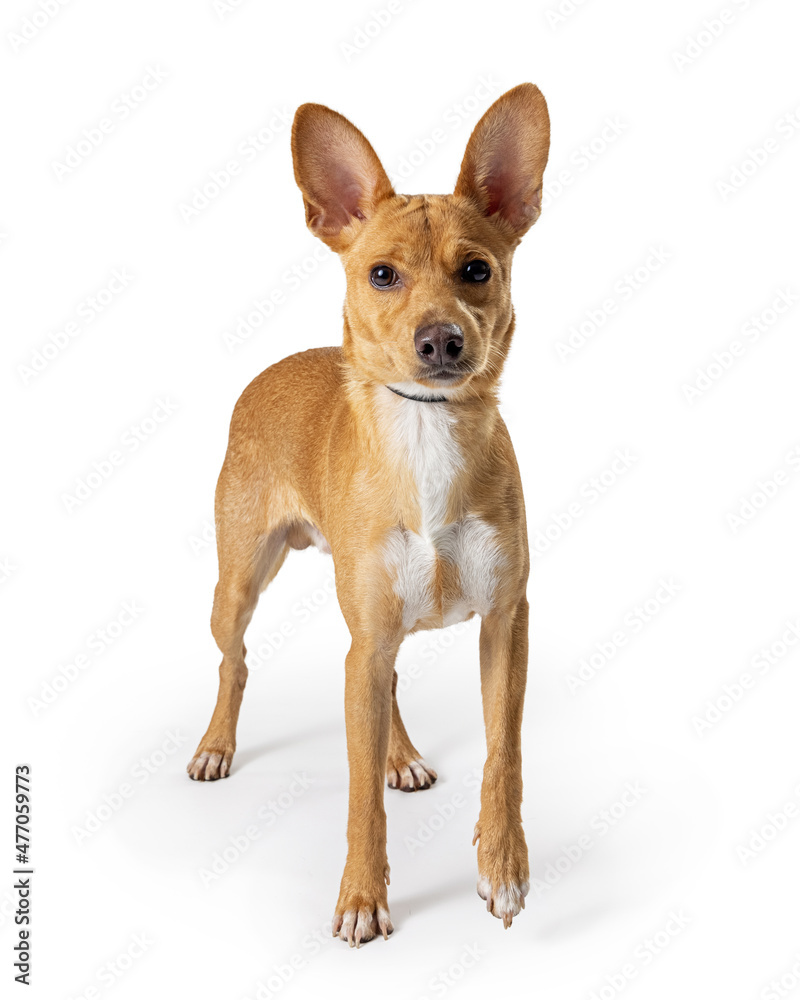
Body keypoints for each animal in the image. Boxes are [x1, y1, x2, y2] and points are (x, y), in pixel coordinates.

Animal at [188, 84, 552, 944]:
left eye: (477, 270)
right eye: (382, 274)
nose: (441, 339)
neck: (427, 435)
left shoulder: (506, 624)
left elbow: (504, 755)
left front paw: (504, 866)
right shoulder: (366, 638)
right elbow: (358, 799)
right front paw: (362, 896)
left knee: (385, 686)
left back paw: (402, 756)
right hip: (239, 583)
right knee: (234, 659)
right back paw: (218, 745)